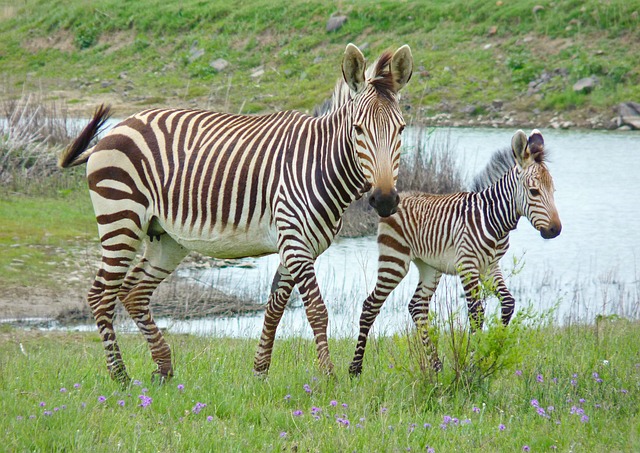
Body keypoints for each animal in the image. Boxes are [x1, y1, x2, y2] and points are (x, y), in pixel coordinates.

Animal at [57, 42, 412, 384]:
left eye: (402, 130)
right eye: (358, 129)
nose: (384, 200)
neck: (319, 163)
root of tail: (115, 129)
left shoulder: (297, 246)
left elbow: (275, 307)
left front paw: (260, 371)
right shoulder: (295, 242)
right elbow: (316, 310)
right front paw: (328, 376)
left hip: (166, 238)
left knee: (133, 293)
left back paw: (163, 368)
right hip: (121, 219)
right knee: (100, 295)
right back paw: (120, 375)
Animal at [348, 128, 564, 374]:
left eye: (553, 190)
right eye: (534, 191)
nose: (555, 230)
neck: (494, 218)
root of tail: (396, 198)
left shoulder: (490, 266)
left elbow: (508, 303)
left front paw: (494, 351)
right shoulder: (468, 265)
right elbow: (476, 313)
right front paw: (473, 363)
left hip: (430, 267)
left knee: (417, 307)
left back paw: (436, 365)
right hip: (394, 259)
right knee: (370, 305)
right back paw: (355, 368)